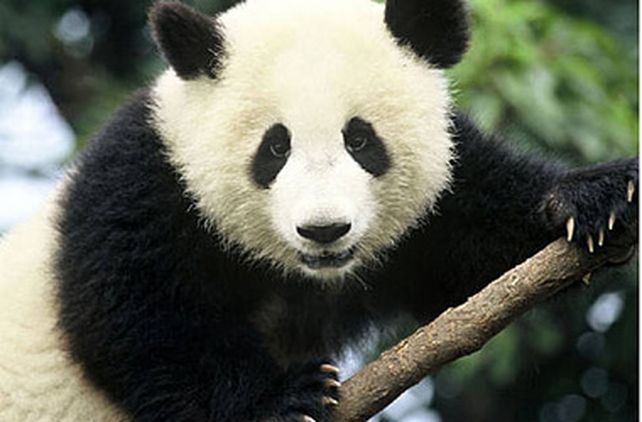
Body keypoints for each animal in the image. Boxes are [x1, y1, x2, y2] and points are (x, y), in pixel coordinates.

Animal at [0, 0, 637, 421]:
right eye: (274, 147)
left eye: (361, 139)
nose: (324, 229)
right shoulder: (145, 184)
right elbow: (135, 320)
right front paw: (283, 400)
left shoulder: (437, 206)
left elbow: (475, 244)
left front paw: (596, 200)